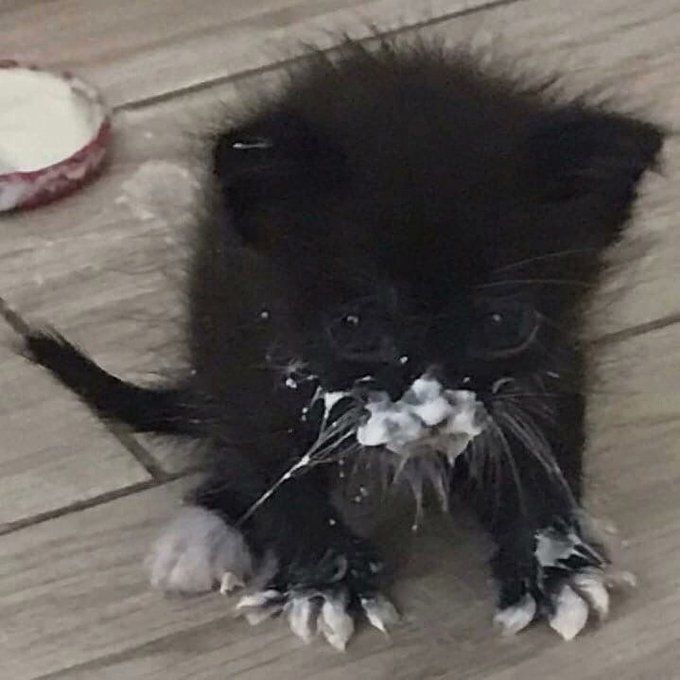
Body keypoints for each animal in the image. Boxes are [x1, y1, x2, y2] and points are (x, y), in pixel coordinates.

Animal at [25, 39, 660, 644]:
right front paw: (327, 582)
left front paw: (554, 568)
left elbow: (539, 454)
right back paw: (206, 528)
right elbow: (272, 469)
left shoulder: (552, 365)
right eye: (354, 327)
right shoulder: (248, 352)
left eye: (504, 324)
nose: (433, 414)